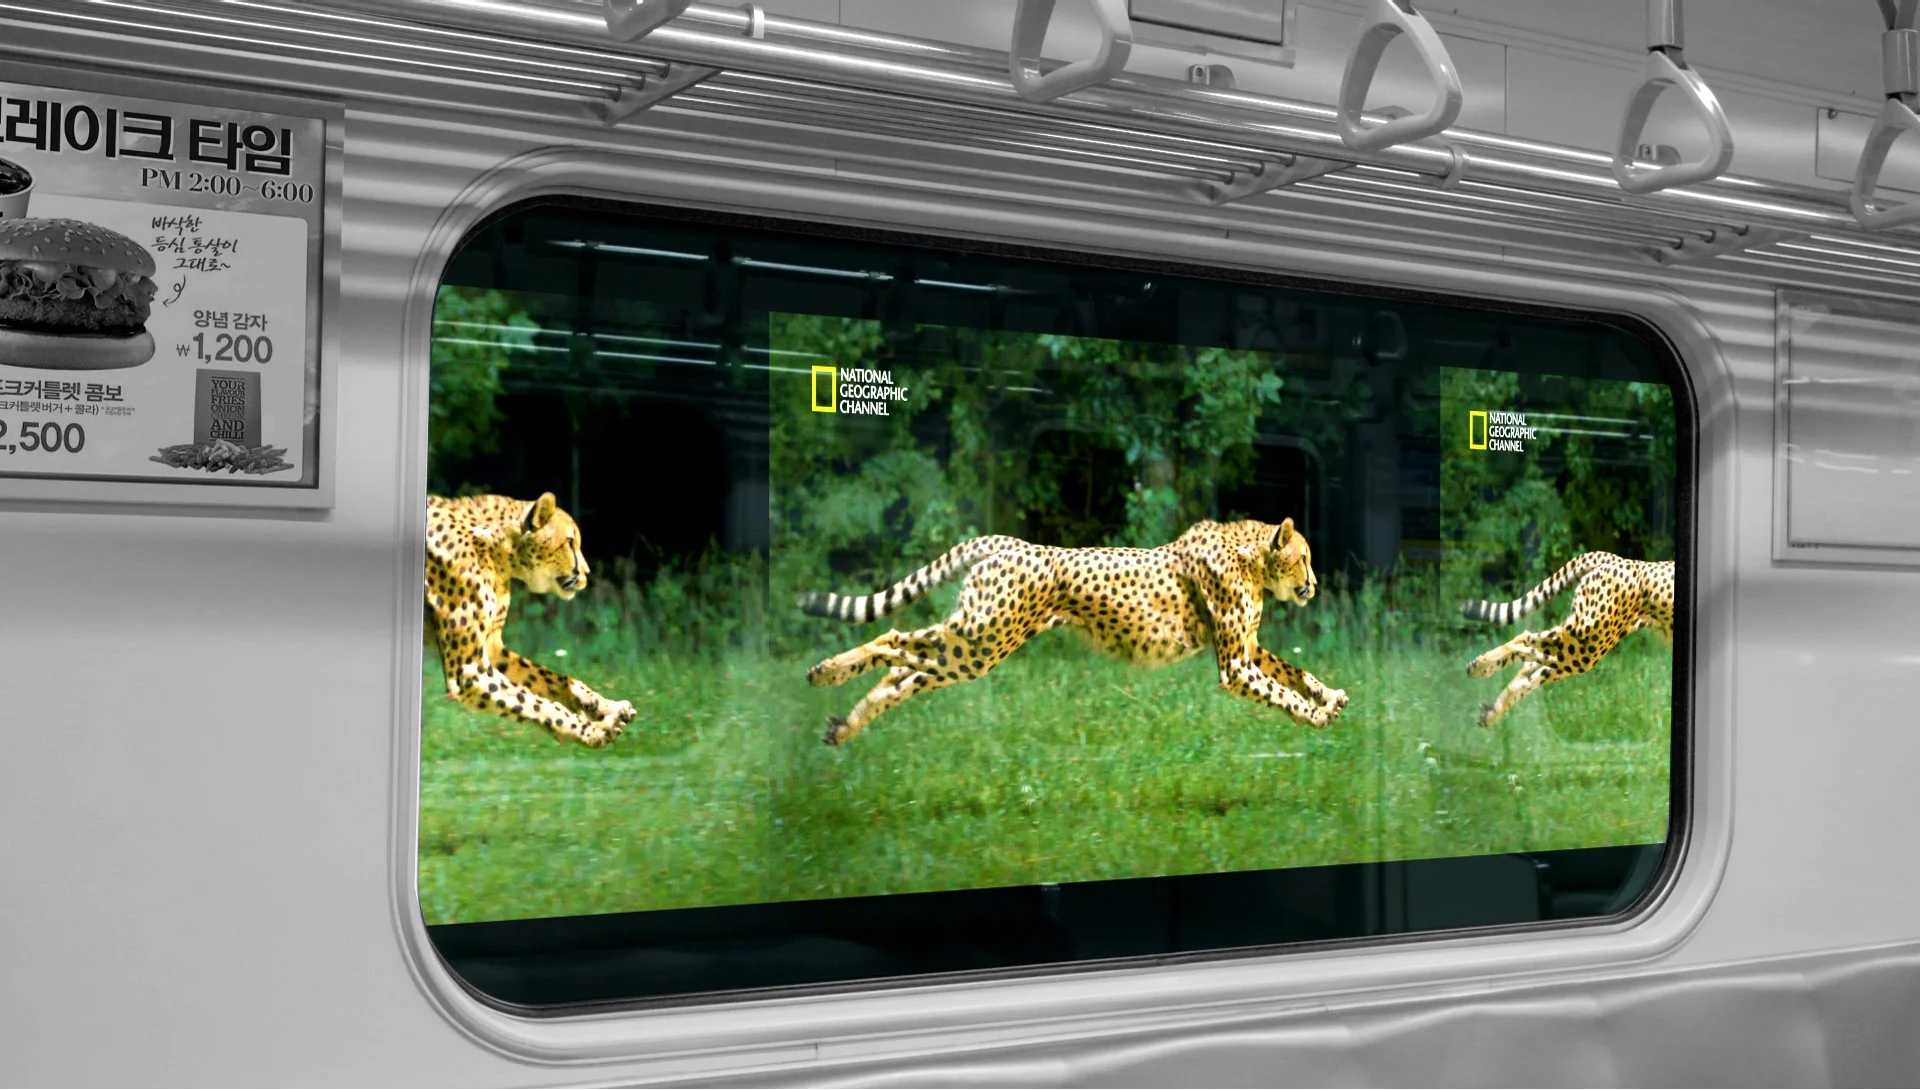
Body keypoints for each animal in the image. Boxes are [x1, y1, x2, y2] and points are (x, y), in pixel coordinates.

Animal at [424, 491, 635, 748]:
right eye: (569, 542)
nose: (586, 574)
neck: (500, 550)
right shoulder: (468, 670)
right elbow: (534, 704)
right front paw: (592, 730)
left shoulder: (491, 647)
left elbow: (551, 679)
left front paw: (602, 705)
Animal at [799, 517, 1349, 746]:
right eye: (1304, 557)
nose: (1316, 584)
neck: (1251, 555)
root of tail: (1016, 543)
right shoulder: (1235, 664)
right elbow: (1281, 691)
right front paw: (1315, 715)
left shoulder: (1249, 649)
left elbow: (1295, 672)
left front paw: (1329, 696)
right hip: (982, 640)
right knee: (893, 641)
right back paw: (826, 673)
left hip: (975, 645)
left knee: (904, 674)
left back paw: (843, 725)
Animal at [1461, 551, 1675, 727]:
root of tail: (1625, 560)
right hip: (1586, 643)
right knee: (1524, 640)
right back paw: (1481, 667)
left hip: (1581, 647)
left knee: (1533, 669)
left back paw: (1491, 709)